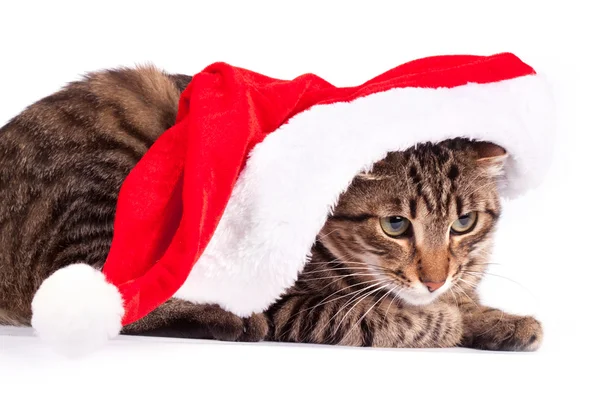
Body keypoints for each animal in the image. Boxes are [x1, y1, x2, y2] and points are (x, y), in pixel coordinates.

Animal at [268, 139, 544, 350]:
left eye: (464, 221)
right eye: (395, 224)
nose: (435, 283)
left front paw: (499, 320)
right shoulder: (282, 307)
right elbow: (364, 317)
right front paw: (449, 320)